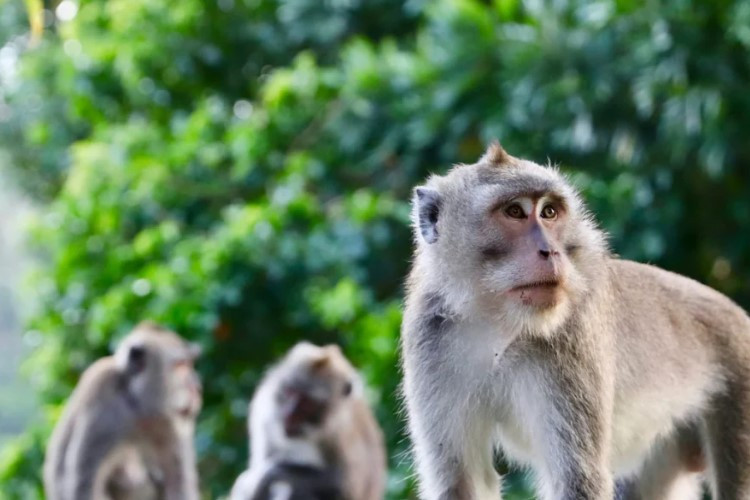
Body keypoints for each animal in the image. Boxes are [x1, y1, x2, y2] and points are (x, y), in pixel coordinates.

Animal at [43, 320, 203, 500]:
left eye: (189, 364)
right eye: (181, 366)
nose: (197, 388)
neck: (137, 407)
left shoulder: (169, 424)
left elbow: (178, 482)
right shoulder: (102, 398)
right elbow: (85, 484)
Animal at [232, 342, 388, 500]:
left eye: (308, 404)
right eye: (290, 391)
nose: (289, 414)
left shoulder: (340, 433)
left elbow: (346, 485)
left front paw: (272, 473)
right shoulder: (264, 417)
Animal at [402, 142, 750, 500]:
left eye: (549, 212)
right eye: (514, 211)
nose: (551, 251)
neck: (498, 324)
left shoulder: (572, 335)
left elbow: (577, 478)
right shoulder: (428, 337)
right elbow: (460, 479)